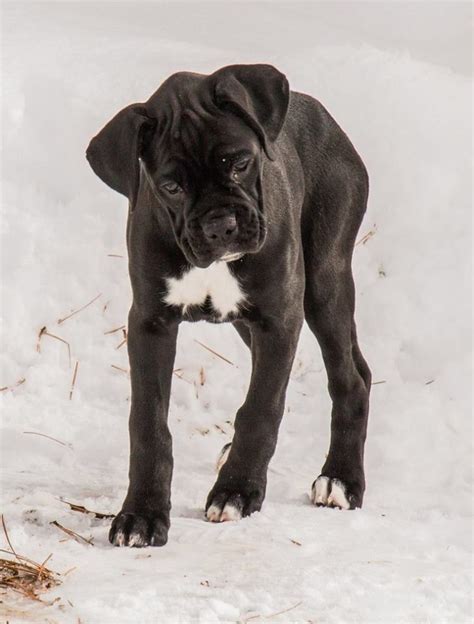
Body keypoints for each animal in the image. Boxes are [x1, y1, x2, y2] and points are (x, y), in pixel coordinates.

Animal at [87, 63, 372, 544]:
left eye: (240, 164)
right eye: (170, 186)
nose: (220, 225)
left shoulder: (280, 316)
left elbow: (262, 407)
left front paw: (237, 491)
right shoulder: (149, 323)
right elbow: (148, 424)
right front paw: (142, 513)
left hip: (324, 284)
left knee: (351, 379)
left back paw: (341, 478)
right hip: (250, 319)